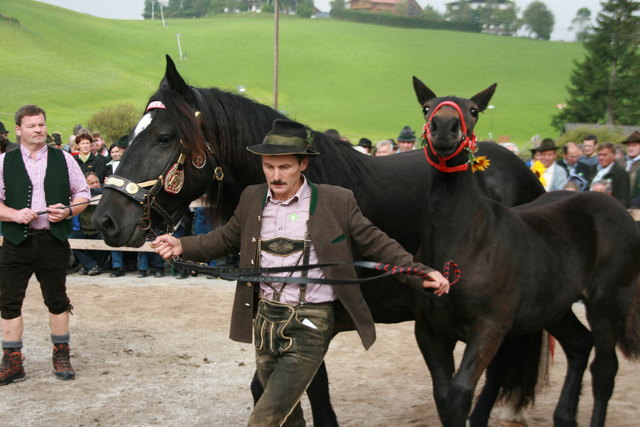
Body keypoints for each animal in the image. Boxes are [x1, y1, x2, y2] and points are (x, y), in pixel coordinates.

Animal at [412, 77, 640, 427]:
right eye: (427, 108)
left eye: (473, 110)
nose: (444, 128)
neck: (464, 242)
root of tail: (617, 208)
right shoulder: (429, 332)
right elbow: (443, 397)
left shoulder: (489, 329)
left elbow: (459, 395)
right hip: (554, 307)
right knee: (579, 344)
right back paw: (564, 416)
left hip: (606, 304)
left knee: (604, 371)